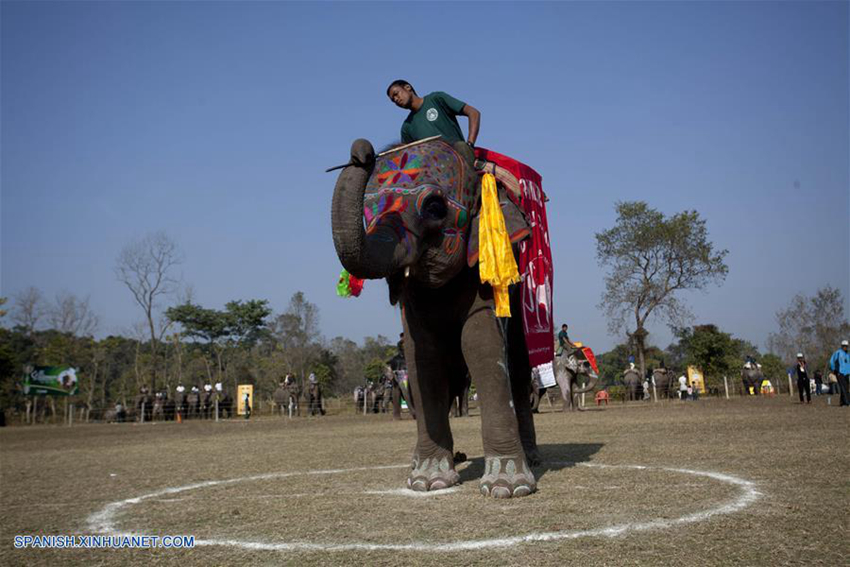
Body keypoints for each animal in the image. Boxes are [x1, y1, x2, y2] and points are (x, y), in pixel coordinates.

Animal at [330, 138, 536, 496]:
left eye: (435, 208)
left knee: (519, 367)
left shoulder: (482, 273)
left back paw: (533, 458)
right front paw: (427, 481)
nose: (361, 152)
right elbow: (422, 357)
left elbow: (481, 345)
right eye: (367, 212)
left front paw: (507, 488)